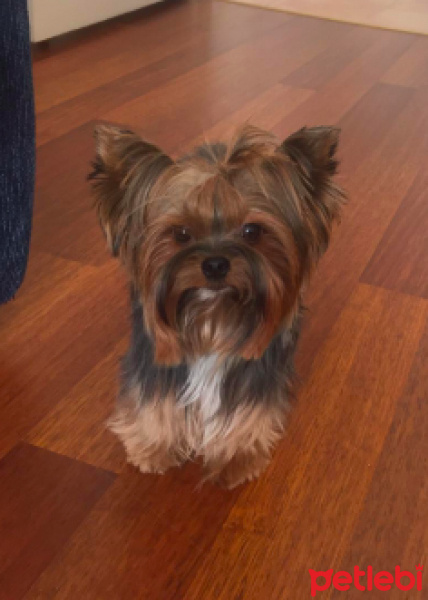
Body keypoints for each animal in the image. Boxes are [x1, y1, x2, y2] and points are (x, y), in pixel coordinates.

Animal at [89, 122, 344, 488]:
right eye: (181, 233)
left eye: (252, 231)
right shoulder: (153, 362)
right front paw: (155, 448)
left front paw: (236, 456)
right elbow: (154, 401)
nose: (215, 264)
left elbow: (246, 412)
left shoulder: (258, 374)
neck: (213, 317)